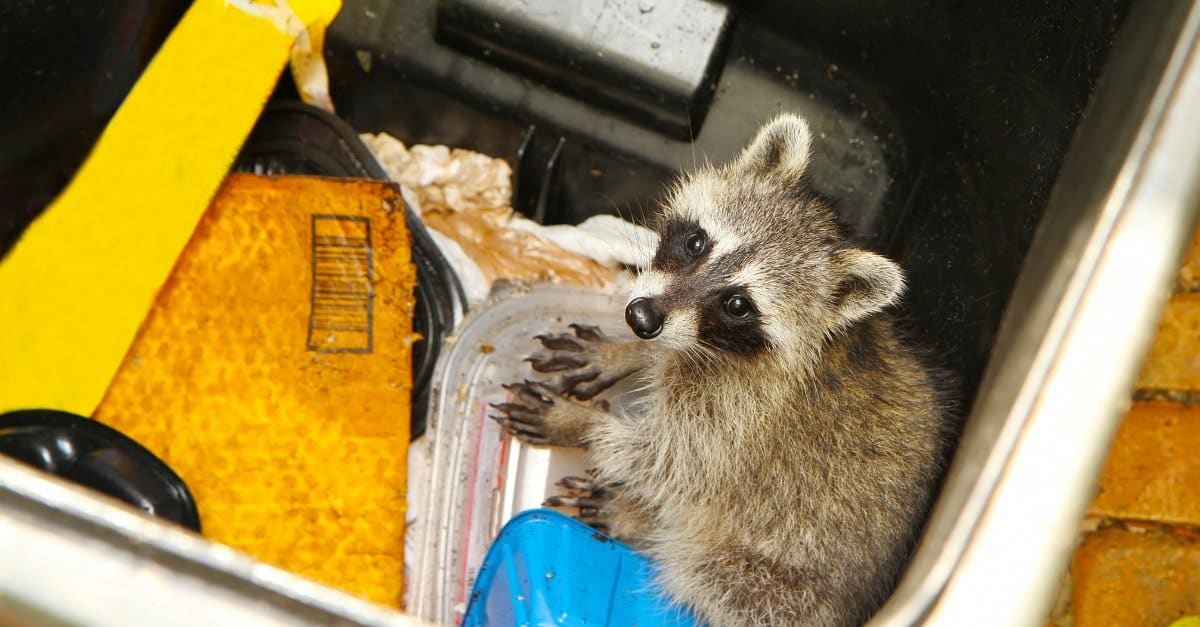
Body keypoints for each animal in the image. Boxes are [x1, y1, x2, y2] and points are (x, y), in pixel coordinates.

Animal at [490, 113, 953, 626]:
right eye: (696, 243)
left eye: (737, 304)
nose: (639, 318)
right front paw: (626, 354)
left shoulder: (737, 421)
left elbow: (667, 461)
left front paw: (579, 423)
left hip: (775, 585)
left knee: (702, 565)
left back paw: (639, 522)